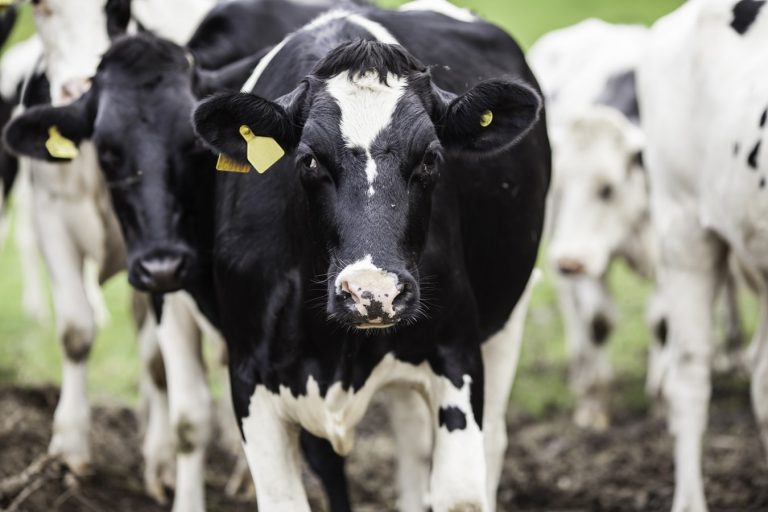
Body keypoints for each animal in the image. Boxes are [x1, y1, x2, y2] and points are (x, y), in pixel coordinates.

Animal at [190, 1, 549, 510]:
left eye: (431, 157)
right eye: (309, 159)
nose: (372, 294)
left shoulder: (457, 353)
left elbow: (460, 491)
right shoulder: (248, 375)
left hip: (508, 314)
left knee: (487, 440)